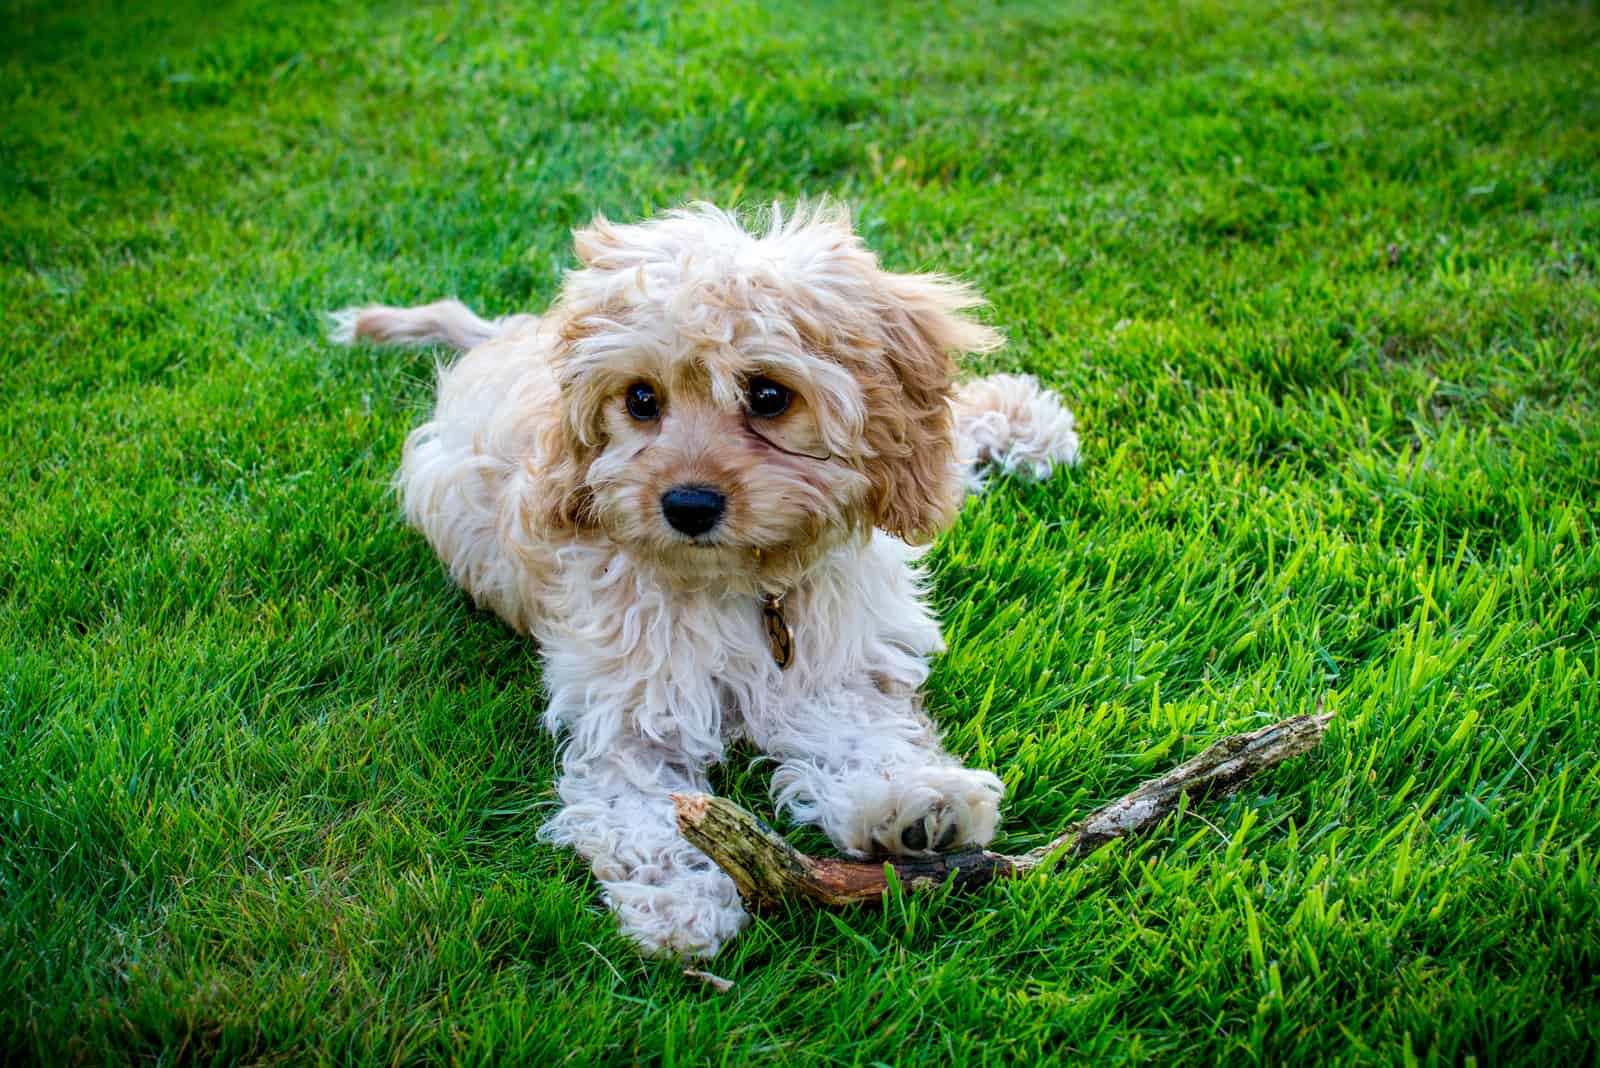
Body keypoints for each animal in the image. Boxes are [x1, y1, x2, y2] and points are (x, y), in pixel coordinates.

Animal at [334, 202, 1088, 959]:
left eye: (769, 394)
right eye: (641, 399)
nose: (688, 506)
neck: (745, 584)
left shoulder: (829, 668)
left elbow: (863, 733)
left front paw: (912, 804)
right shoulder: (630, 712)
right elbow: (644, 812)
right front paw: (680, 901)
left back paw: (1025, 422)